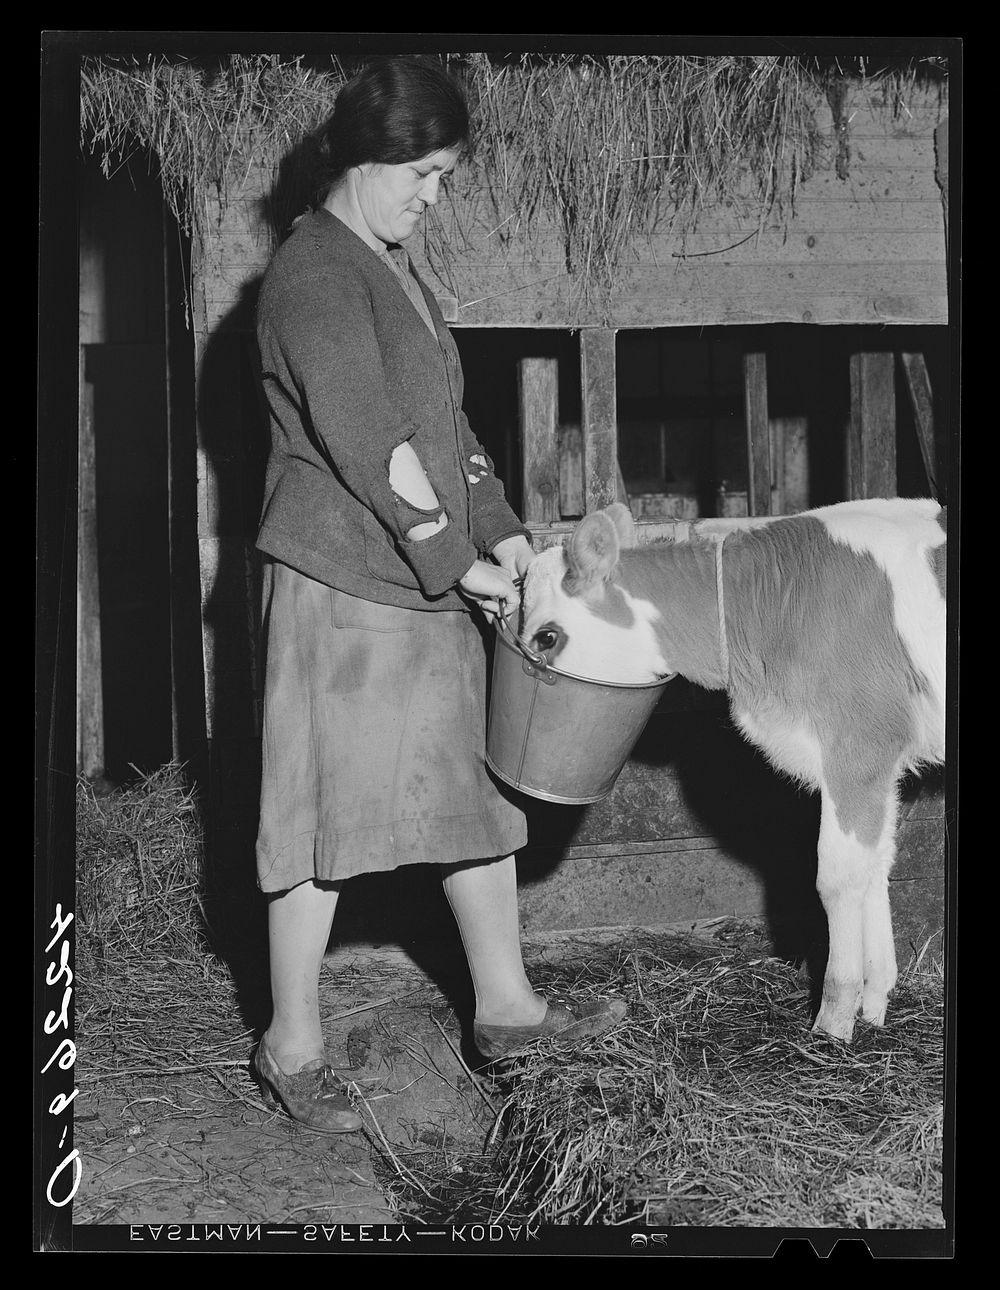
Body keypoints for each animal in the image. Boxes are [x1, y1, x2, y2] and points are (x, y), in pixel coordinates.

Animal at [521, 497, 949, 1042]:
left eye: (546, 636)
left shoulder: (856, 747)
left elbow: (837, 877)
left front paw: (832, 1022)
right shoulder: (877, 759)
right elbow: (876, 866)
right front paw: (873, 1008)